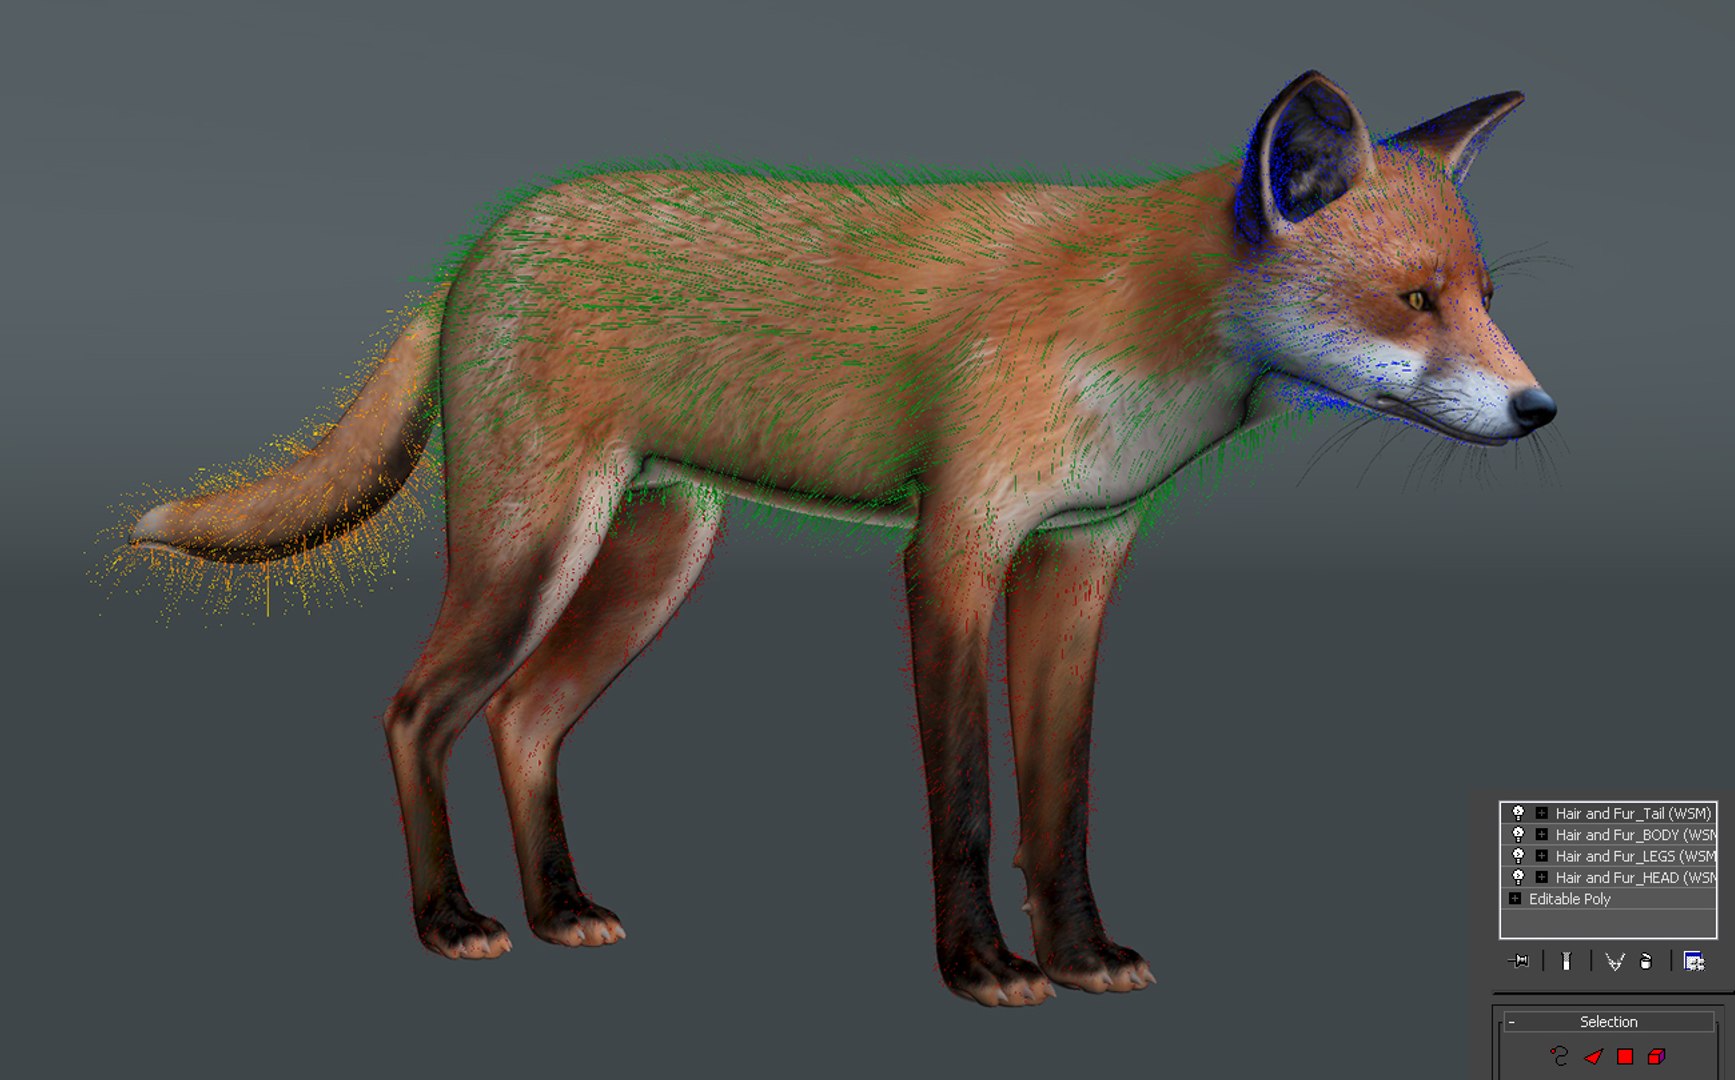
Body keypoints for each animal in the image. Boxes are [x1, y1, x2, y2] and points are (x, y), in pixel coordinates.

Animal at [125, 70, 1554, 1007]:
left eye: (1484, 297)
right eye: (1412, 300)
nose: (1539, 410)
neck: (1137, 329)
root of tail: (482, 245)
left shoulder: (1082, 551)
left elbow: (1061, 800)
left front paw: (1079, 956)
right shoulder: (953, 549)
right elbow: (967, 801)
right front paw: (981, 968)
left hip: (654, 559)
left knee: (522, 720)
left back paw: (558, 911)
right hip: (532, 548)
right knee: (415, 712)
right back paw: (448, 921)